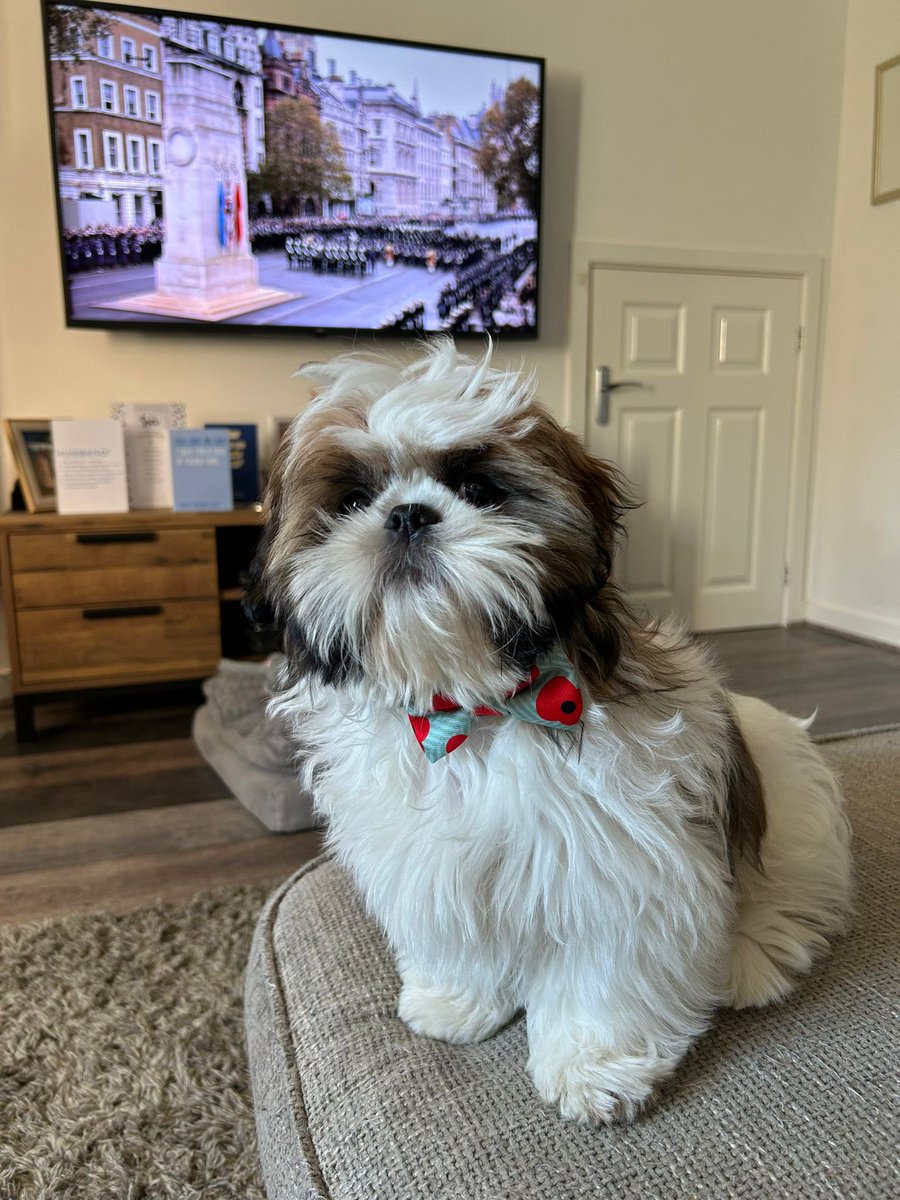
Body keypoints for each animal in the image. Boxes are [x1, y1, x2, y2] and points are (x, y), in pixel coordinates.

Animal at [250, 336, 854, 1123]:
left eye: (481, 490)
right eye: (351, 501)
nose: (407, 514)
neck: (473, 708)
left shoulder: (620, 869)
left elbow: (605, 971)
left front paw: (595, 1066)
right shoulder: (429, 860)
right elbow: (459, 932)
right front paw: (456, 1001)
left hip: (789, 799)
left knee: (789, 889)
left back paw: (752, 954)